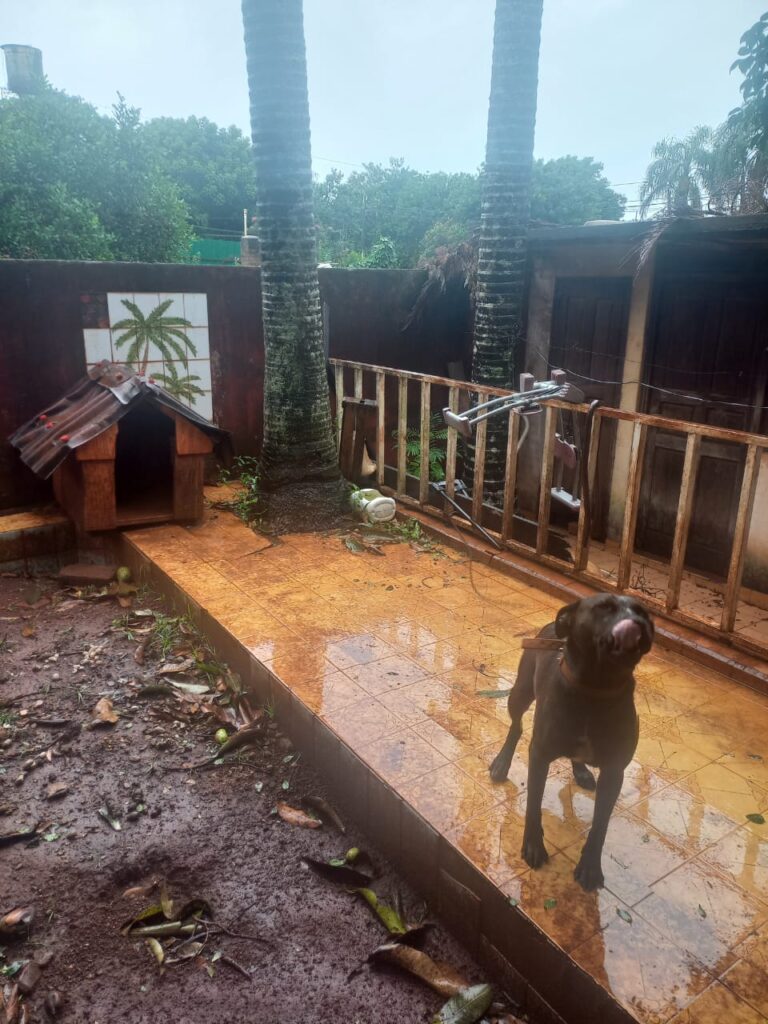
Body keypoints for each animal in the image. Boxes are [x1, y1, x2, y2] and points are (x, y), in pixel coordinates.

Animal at [493, 593, 655, 888]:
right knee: (516, 727)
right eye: (604, 607)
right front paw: (533, 846)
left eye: (644, 613)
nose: (635, 623)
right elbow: (533, 804)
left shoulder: (615, 772)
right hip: (520, 693)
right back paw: (501, 763)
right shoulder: (539, 756)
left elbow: (600, 825)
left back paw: (581, 772)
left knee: (574, 756)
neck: (596, 689)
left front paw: (590, 866)